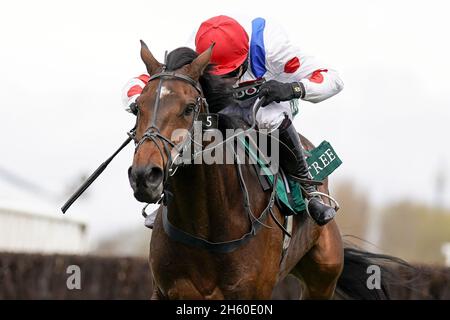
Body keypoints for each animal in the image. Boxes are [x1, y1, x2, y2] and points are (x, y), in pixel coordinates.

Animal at [127, 41, 408, 298]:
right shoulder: (167, 291)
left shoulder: (254, 291)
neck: (207, 225)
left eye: (188, 108)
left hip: (323, 275)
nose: (144, 176)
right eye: (137, 107)